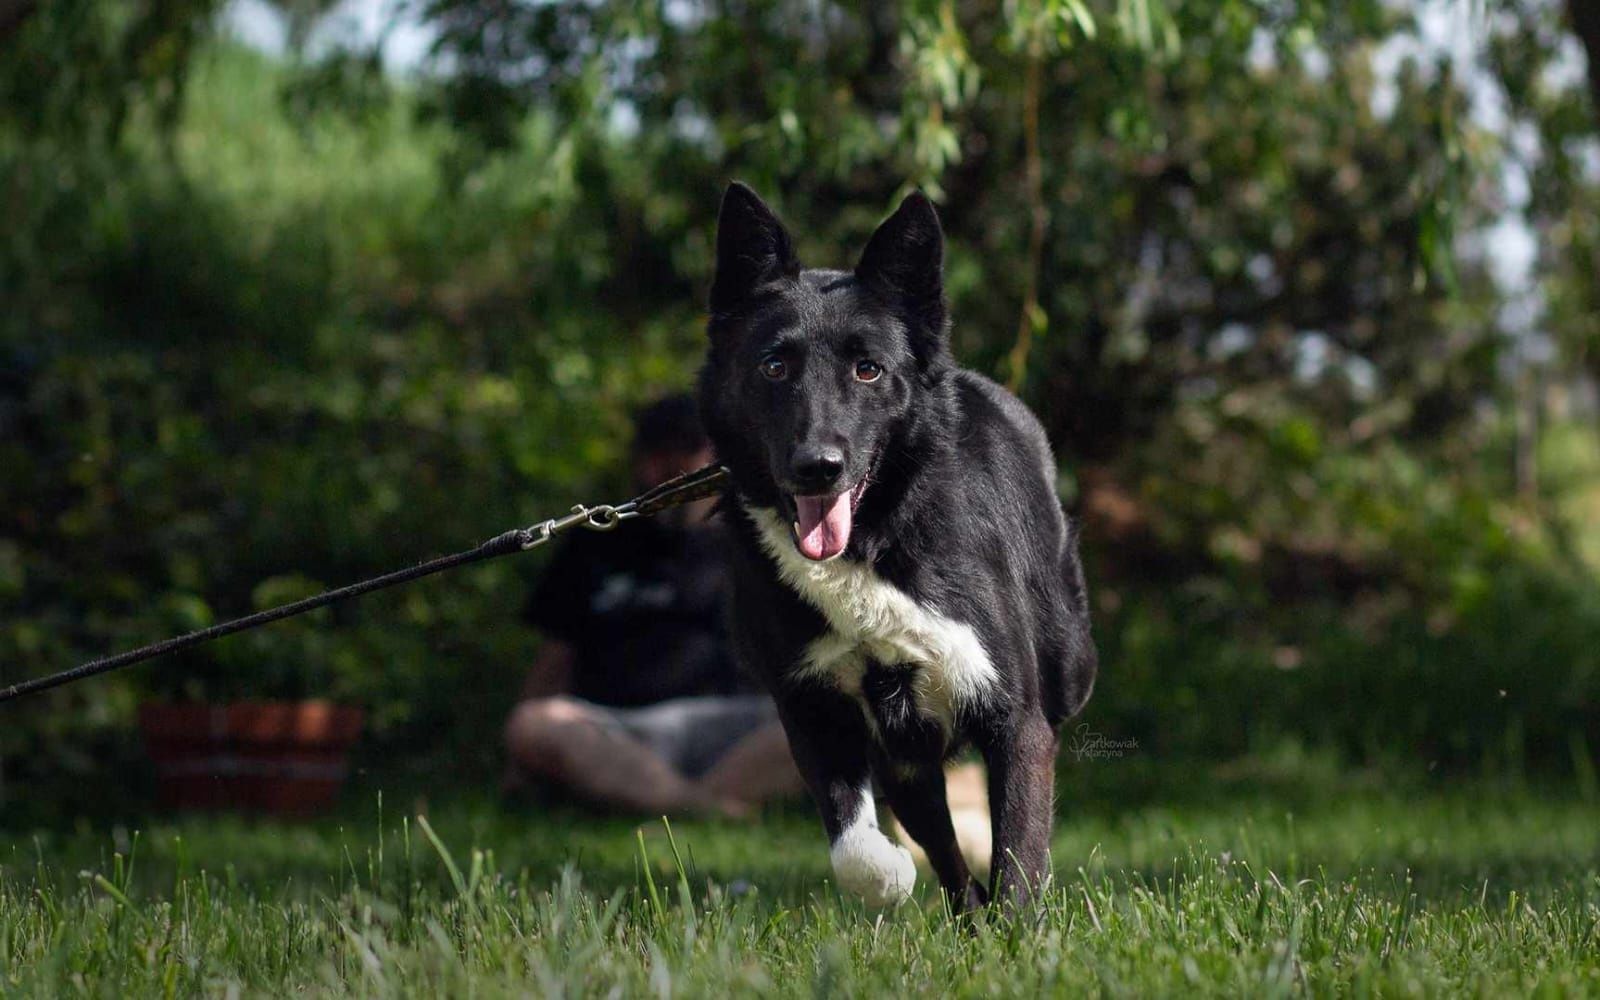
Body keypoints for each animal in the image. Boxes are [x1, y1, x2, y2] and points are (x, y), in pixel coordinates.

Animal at [700, 181, 1100, 915]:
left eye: (868, 370)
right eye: (774, 365)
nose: (818, 467)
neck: (874, 539)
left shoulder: (1014, 718)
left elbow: (1019, 853)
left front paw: (1020, 933)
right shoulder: (815, 712)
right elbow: (855, 847)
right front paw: (891, 876)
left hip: (1066, 655)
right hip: (907, 767)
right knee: (944, 853)